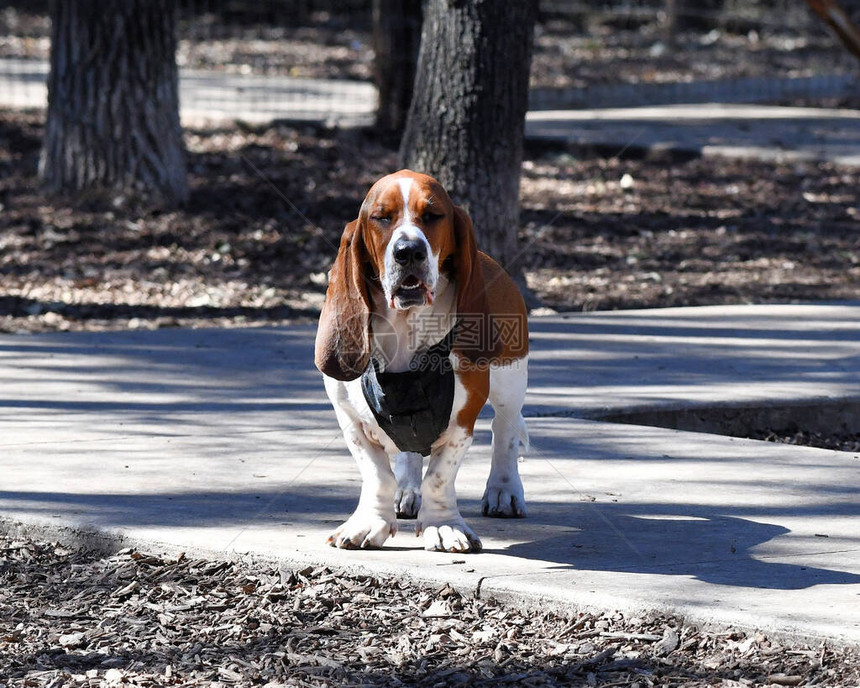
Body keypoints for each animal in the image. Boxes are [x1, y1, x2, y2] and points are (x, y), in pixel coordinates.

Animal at [316, 169, 528, 552]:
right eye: (381, 217)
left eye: (432, 216)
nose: (408, 251)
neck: (406, 327)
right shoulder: (350, 419)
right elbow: (377, 474)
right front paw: (370, 522)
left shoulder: (462, 421)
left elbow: (440, 477)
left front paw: (443, 526)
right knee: (409, 450)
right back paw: (407, 490)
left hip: (511, 379)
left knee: (505, 429)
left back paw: (504, 491)